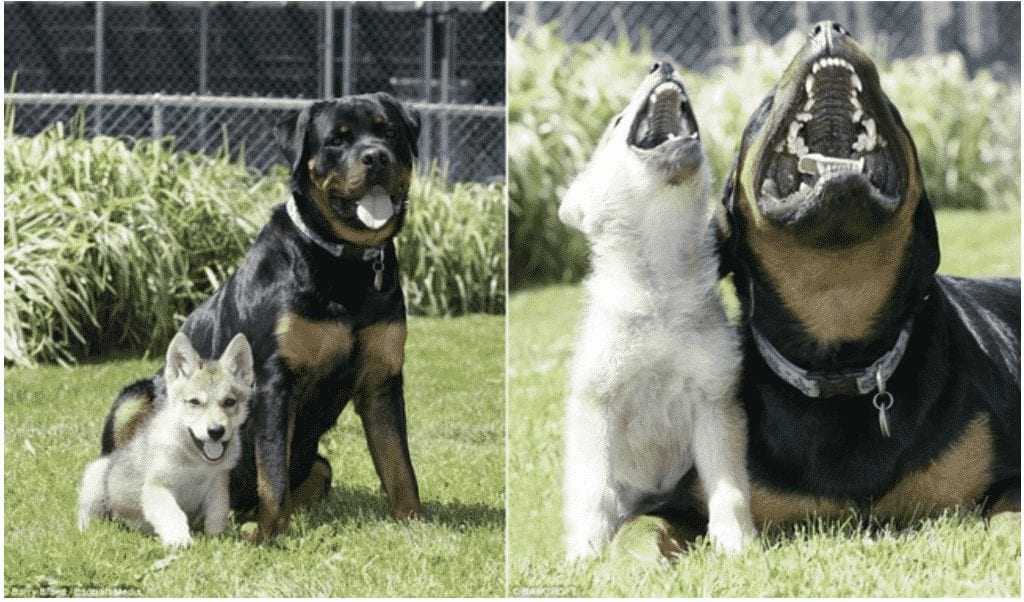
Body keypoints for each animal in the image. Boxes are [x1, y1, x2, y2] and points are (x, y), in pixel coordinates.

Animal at [77, 332, 254, 548]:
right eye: (194, 402)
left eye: (229, 402)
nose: (216, 431)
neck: (196, 461)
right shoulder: (157, 487)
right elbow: (172, 514)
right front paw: (179, 540)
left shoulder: (218, 484)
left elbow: (217, 514)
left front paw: (216, 538)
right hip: (97, 474)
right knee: (87, 515)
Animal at [558, 62, 755, 560]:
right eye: (614, 121)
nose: (661, 64)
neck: (660, 292)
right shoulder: (599, 402)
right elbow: (595, 492)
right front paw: (584, 553)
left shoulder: (715, 402)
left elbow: (729, 489)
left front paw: (736, 541)